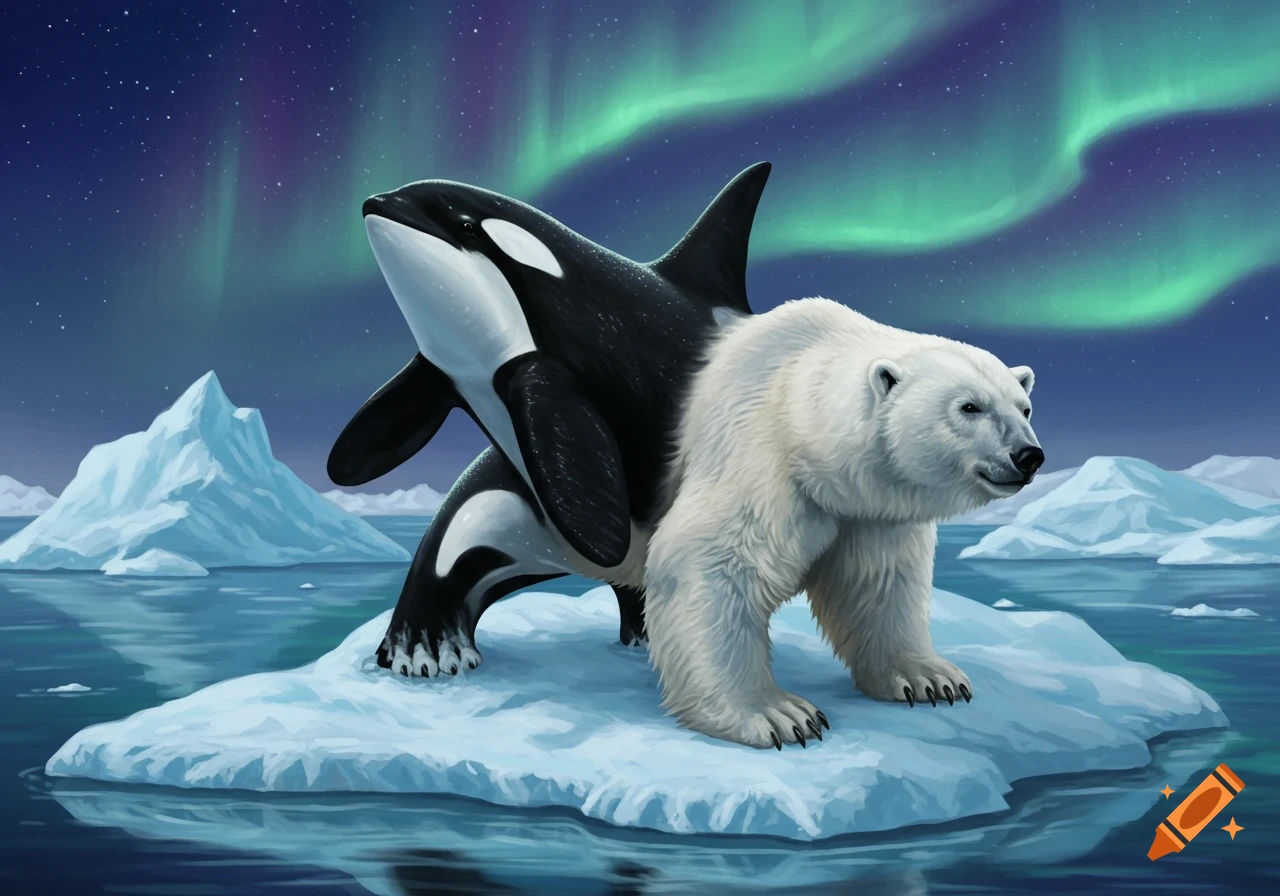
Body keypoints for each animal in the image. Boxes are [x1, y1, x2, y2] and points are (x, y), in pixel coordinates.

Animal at [643, 296, 1044, 749]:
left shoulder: (870, 512)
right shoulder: (753, 449)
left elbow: (878, 582)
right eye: (969, 406)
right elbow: (712, 561)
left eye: (1025, 408)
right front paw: (778, 714)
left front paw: (929, 677)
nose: (1028, 456)